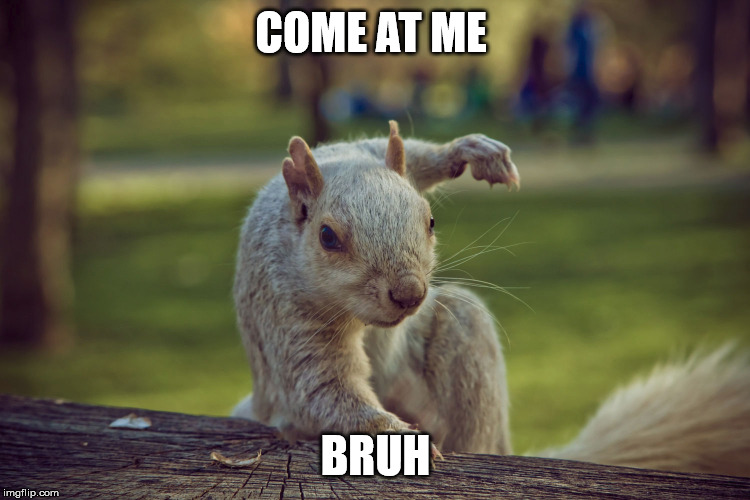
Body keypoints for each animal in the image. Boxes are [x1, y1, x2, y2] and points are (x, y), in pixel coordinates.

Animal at [232, 121, 750, 476]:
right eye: (327, 237)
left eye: (431, 221)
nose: (409, 294)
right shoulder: (289, 313)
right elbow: (322, 389)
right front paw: (394, 434)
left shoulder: (365, 152)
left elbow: (409, 154)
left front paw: (472, 152)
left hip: (462, 330)